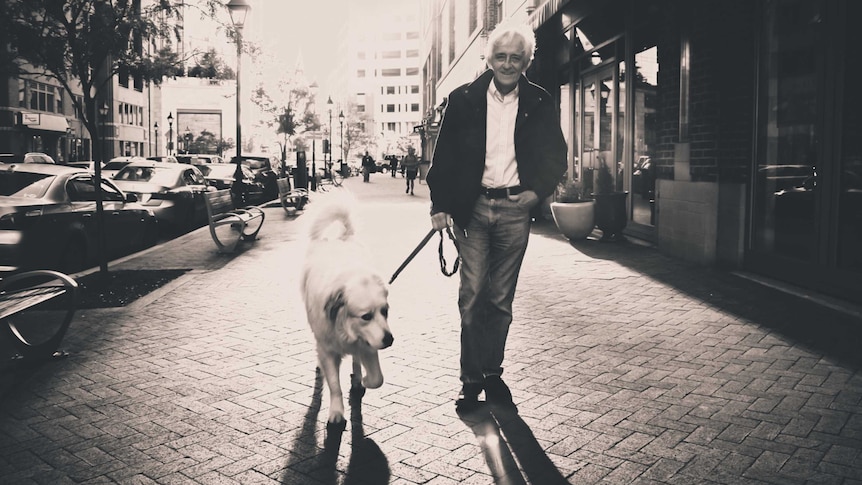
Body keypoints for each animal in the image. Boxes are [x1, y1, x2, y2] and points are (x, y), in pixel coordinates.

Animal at [300, 195, 394, 426]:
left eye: (385, 311)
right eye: (366, 316)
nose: (389, 339)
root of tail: (342, 238)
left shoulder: (368, 343)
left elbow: (377, 379)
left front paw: (366, 380)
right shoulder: (328, 348)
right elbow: (334, 385)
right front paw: (336, 411)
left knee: (356, 360)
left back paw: (358, 377)